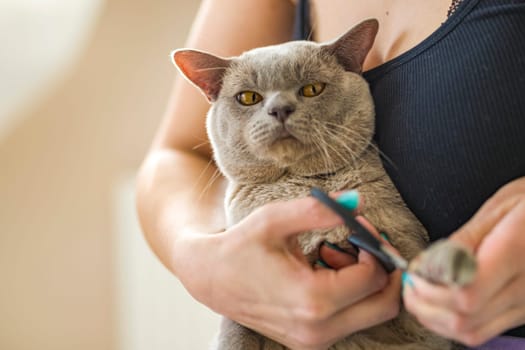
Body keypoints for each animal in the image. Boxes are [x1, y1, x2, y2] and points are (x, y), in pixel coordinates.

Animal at [172, 19, 474, 350]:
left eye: (312, 89)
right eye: (249, 97)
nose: (280, 109)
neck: (300, 187)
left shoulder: (403, 237)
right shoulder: (239, 306)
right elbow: (235, 336)